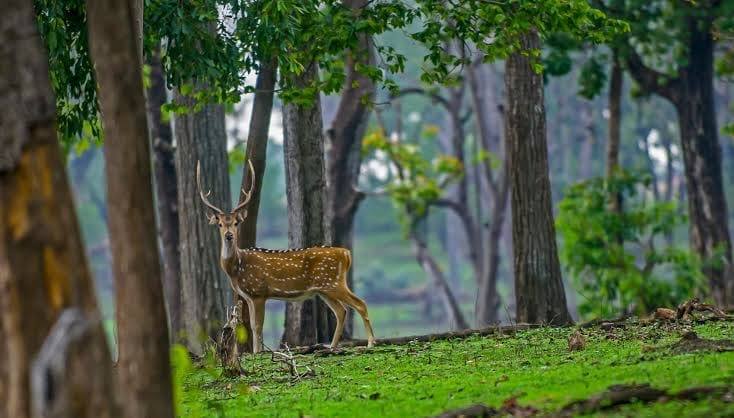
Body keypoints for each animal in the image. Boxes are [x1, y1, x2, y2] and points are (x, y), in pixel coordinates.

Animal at [197, 160, 376, 353]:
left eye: (236, 223)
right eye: (220, 224)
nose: (229, 235)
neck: (237, 268)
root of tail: (346, 254)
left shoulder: (259, 292)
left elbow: (257, 325)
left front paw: (258, 352)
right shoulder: (248, 297)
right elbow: (251, 325)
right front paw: (255, 352)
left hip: (333, 283)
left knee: (360, 303)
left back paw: (371, 342)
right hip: (324, 289)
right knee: (341, 311)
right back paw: (331, 346)